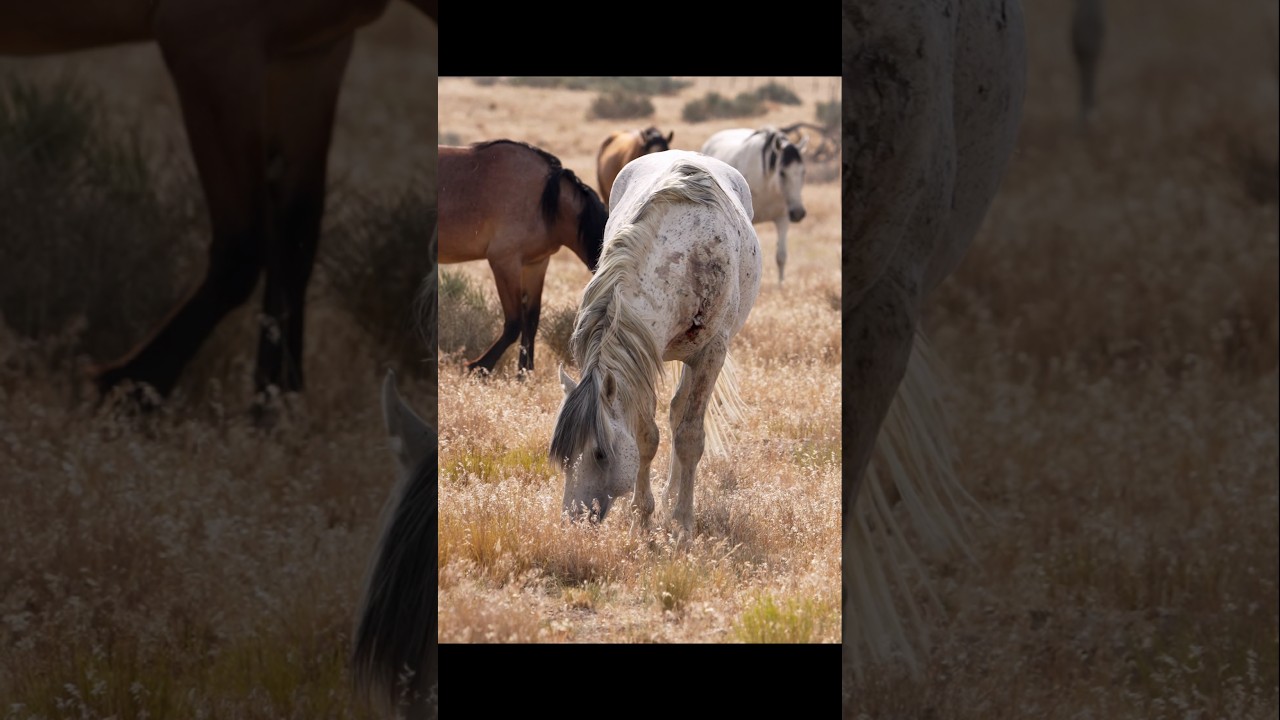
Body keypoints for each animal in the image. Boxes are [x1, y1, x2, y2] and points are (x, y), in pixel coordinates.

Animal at [1, 0, 438, 407]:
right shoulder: (210, 47)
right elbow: (241, 252)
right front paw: (130, 386)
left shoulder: (311, 56)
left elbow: (294, 242)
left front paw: (275, 403)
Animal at [438, 139, 608, 375]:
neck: (546, 201)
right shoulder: (505, 263)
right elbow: (514, 323)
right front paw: (479, 366)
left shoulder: (536, 264)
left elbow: (531, 320)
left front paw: (525, 372)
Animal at [549, 149, 761, 535]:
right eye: (564, 454)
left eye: (600, 453)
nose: (574, 520)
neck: (684, 256)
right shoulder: (644, 356)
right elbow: (646, 436)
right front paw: (642, 518)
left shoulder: (710, 355)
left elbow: (690, 437)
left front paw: (683, 526)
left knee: (681, 419)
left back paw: (673, 499)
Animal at [699, 126, 808, 285]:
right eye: (782, 172)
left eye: (803, 172)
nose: (798, 213)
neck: (769, 185)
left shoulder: (783, 218)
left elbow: (781, 256)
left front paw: (781, 285)